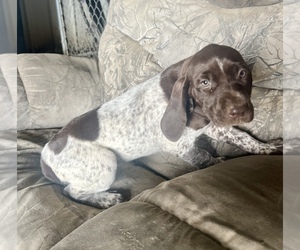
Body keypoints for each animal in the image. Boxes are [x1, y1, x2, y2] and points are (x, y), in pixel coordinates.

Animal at [39, 44, 282, 208]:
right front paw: (217, 161)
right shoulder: (178, 146)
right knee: (71, 190)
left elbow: (244, 138)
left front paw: (267, 147)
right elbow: (203, 155)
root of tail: (45, 156)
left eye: (242, 73)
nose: (239, 111)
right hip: (105, 163)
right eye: (204, 83)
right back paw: (105, 198)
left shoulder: (214, 126)